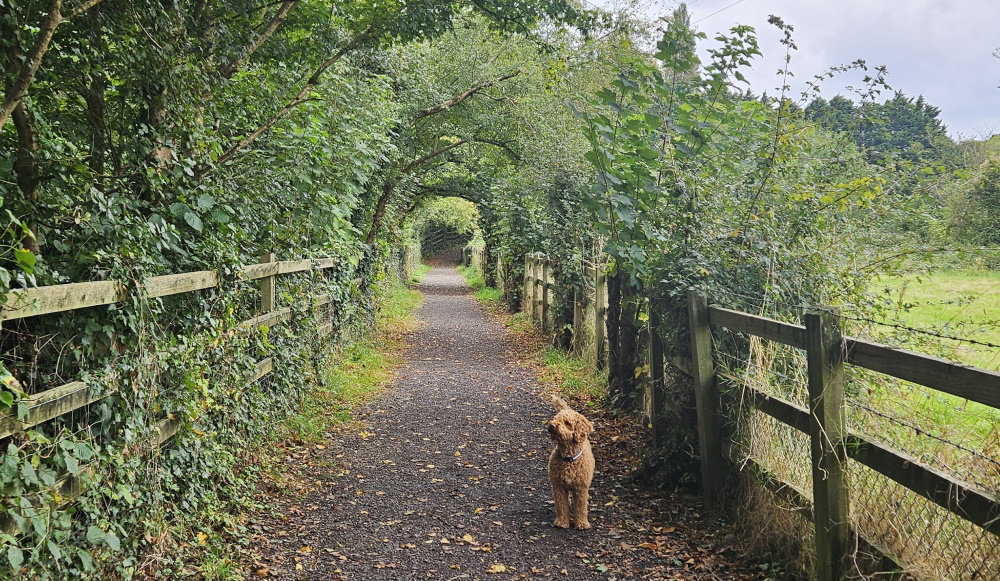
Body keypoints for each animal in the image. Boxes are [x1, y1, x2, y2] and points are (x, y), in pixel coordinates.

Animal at [548, 396, 592, 528]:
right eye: (555, 418)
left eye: (567, 423)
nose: (552, 425)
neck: (568, 459)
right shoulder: (558, 487)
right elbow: (561, 505)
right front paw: (562, 522)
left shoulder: (581, 488)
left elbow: (581, 507)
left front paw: (582, 523)